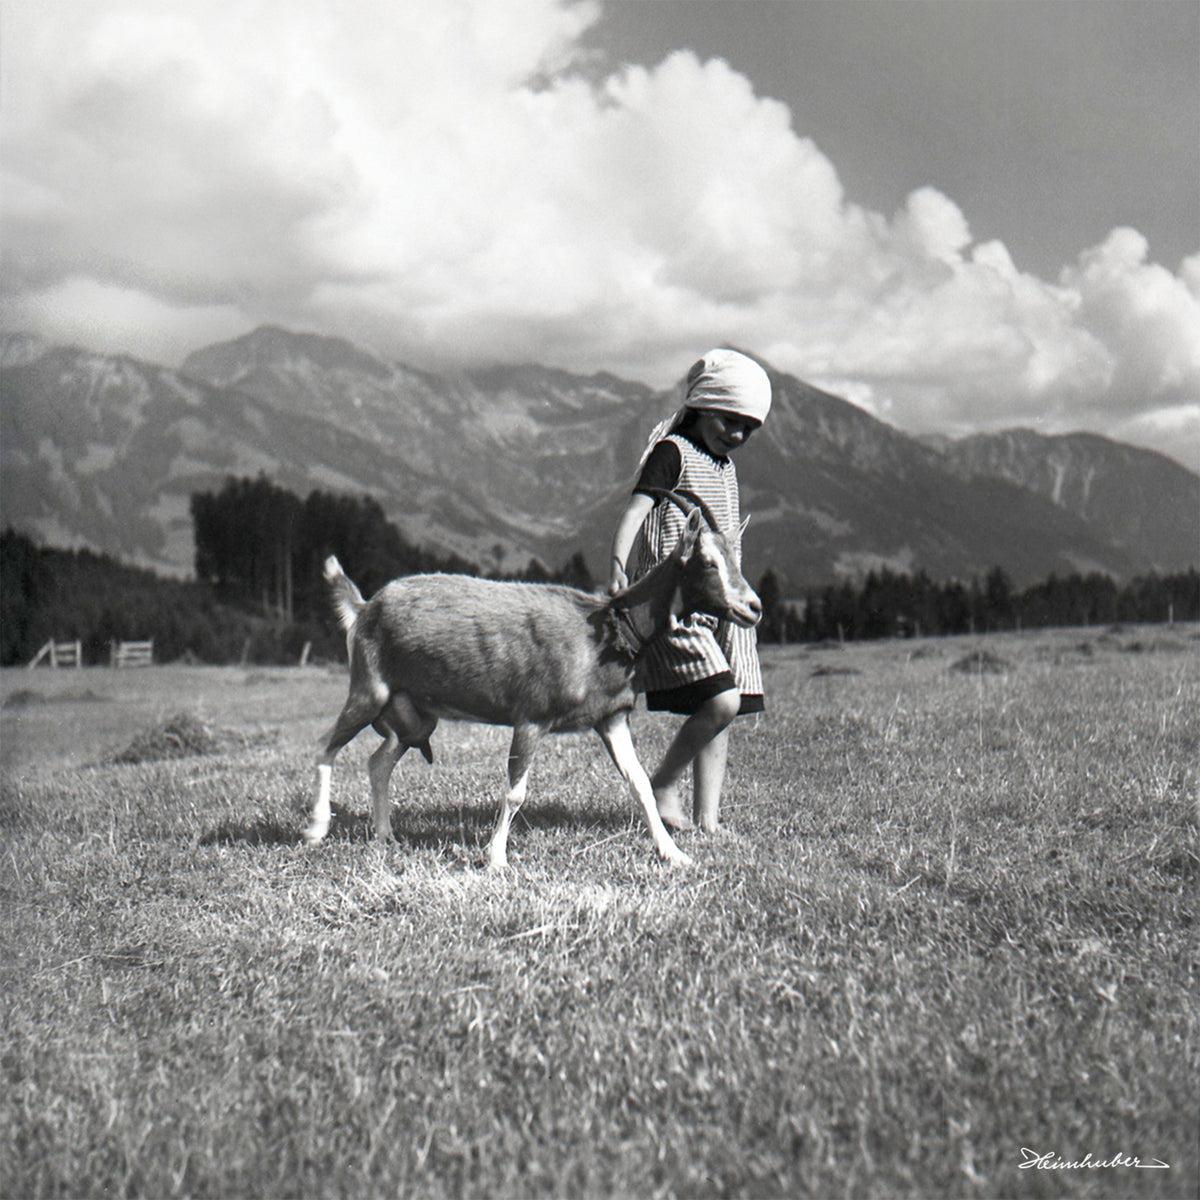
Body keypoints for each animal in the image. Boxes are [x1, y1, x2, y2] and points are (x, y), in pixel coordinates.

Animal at [303, 490, 761, 868]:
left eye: (736, 561)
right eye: (707, 563)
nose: (753, 607)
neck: (604, 631)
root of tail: (365, 607)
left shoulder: (611, 718)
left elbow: (641, 784)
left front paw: (674, 854)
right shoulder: (532, 718)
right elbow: (516, 792)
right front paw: (496, 859)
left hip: (415, 717)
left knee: (378, 761)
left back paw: (385, 834)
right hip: (369, 689)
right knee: (326, 745)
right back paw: (316, 828)